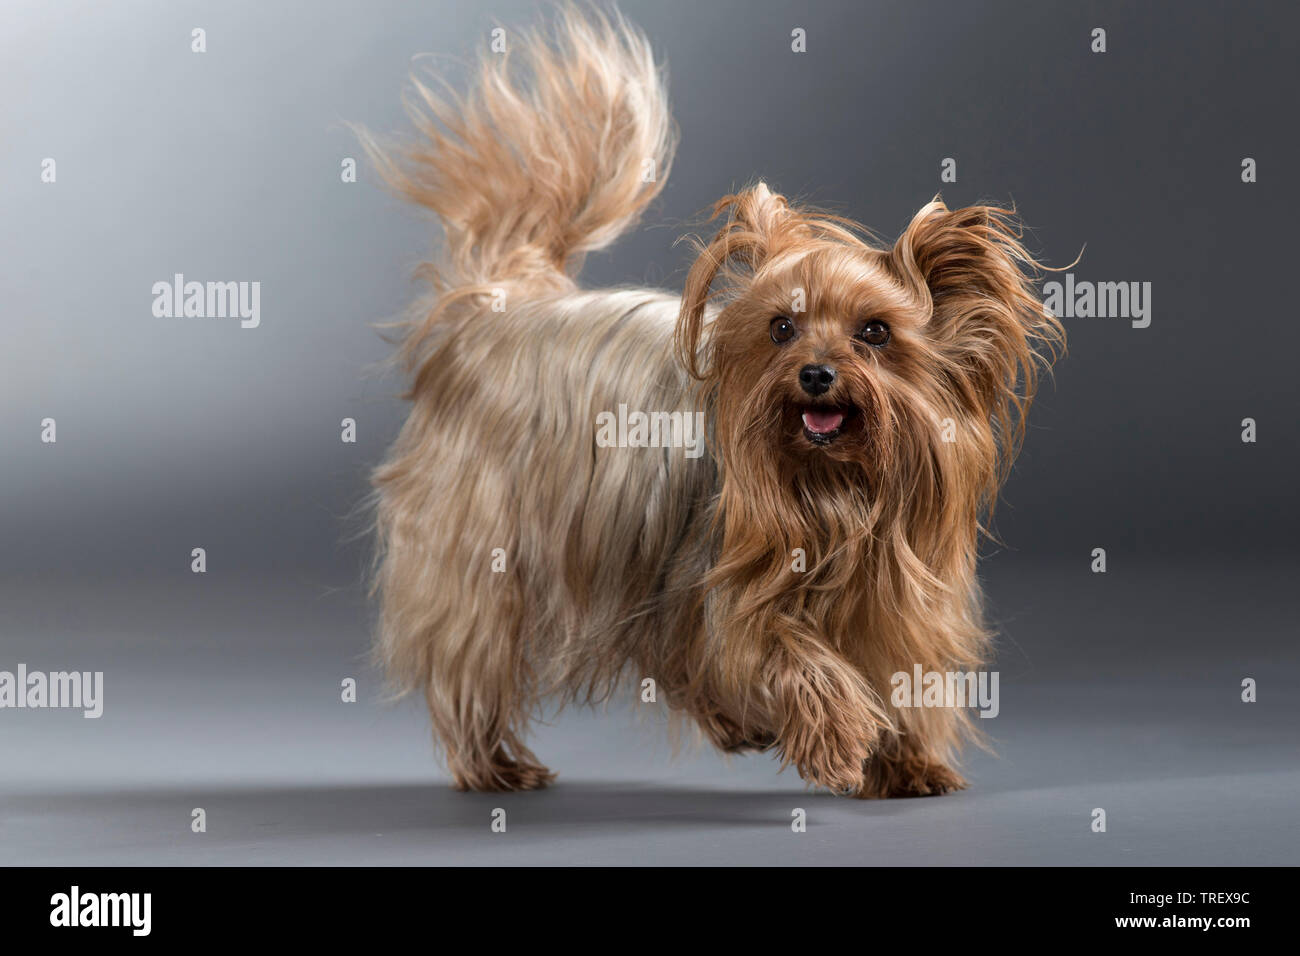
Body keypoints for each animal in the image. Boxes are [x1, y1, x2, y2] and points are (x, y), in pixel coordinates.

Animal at [361, 5, 1060, 801]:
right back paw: (494, 763)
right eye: (782, 327)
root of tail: (495, 306)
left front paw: (908, 761)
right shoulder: (732, 579)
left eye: (875, 332)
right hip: (486, 540)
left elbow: (895, 667)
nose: (815, 375)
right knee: (473, 652)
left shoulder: (899, 597)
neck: (839, 487)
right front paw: (840, 736)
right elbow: (777, 647)